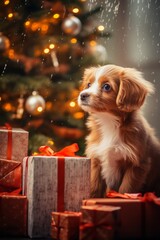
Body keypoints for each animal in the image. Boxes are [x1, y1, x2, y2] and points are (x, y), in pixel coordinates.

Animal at [78, 63, 160, 197]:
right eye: (89, 85)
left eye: (106, 87)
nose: (82, 95)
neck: (109, 122)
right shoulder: (96, 160)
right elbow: (94, 186)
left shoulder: (137, 165)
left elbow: (126, 189)